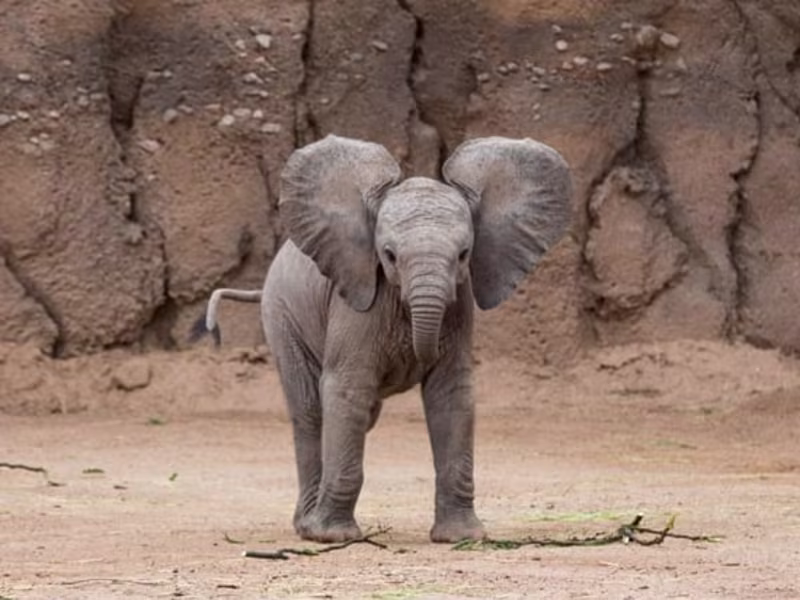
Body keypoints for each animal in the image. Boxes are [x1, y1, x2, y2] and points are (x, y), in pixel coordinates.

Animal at [199, 134, 572, 543]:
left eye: (464, 255)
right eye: (389, 256)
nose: (419, 351)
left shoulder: (458, 307)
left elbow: (451, 393)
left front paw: (461, 538)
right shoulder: (356, 302)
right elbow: (348, 390)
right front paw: (333, 538)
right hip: (281, 315)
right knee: (310, 410)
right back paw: (307, 527)